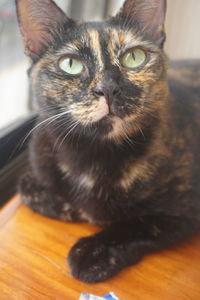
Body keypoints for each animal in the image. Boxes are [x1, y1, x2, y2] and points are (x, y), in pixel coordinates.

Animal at [15, 0, 200, 282]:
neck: (94, 154)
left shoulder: (187, 206)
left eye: (134, 57)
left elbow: (142, 224)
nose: (107, 88)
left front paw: (92, 252)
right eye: (70, 64)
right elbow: (26, 188)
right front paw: (70, 207)